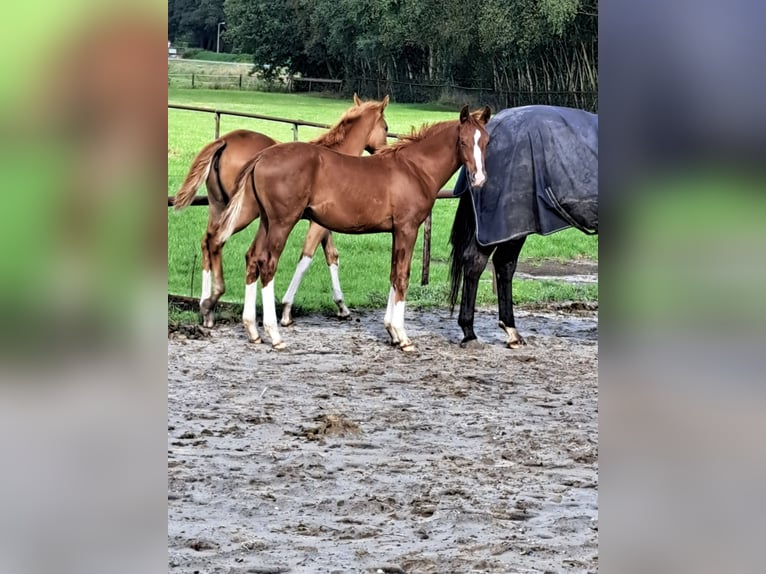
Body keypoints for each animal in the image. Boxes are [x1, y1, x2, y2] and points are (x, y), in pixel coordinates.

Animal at [173, 95, 390, 328]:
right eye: (386, 127)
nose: (383, 152)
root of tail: (224, 141)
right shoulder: (318, 224)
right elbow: (306, 258)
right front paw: (286, 310)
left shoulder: (323, 223)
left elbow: (332, 255)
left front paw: (342, 307)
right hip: (243, 212)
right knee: (216, 241)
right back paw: (213, 300)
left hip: (218, 206)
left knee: (207, 241)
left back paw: (207, 308)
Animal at [216, 106, 492, 354]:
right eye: (463, 141)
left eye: (487, 141)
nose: (479, 179)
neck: (414, 169)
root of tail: (262, 156)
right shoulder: (408, 228)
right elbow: (402, 276)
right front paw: (403, 337)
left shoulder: (396, 231)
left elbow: (393, 274)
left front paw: (391, 332)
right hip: (282, 222)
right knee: (268, 264)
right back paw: (275, 335)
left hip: (266, 220)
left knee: (253, 258)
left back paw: (253, 330)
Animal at [450, 106, 600, 348]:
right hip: (507, 224)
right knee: (477, 262)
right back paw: (470, 333)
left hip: (513, 228)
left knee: (504, 265)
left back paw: (510, 331)